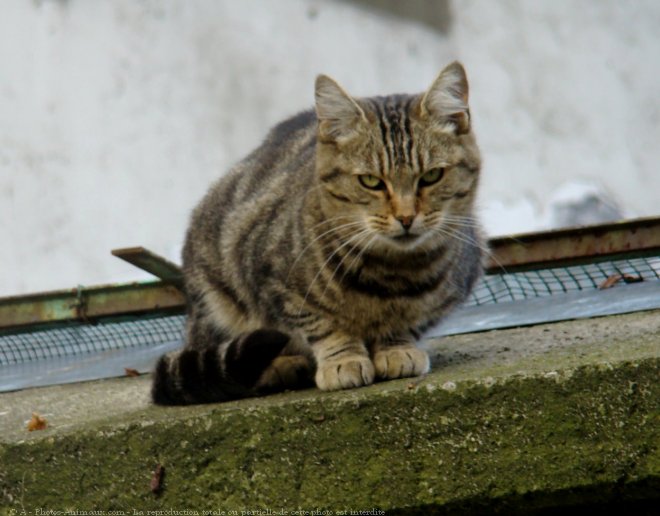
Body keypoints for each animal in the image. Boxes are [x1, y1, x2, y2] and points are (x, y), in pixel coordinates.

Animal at [153, 60, 484, 406]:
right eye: (371, 181)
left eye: (432, 176)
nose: (406, 217)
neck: (391, 276)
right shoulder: (275, 282)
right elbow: (322, 324)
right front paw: (343, 359)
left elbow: (409, 322)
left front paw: (397, 348)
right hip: (215, 299)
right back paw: (278, 367)